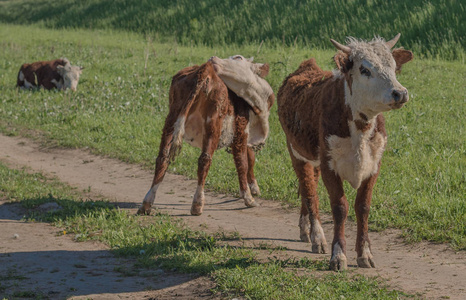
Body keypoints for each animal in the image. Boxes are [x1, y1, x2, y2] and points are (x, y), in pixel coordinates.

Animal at [137, 54, 274, 216]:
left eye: (237, 57)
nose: (212, 58)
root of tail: (205, 69)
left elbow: (250, 158)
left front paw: (254, 187)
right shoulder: (241, 131)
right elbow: (243, 163)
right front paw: (248, 197)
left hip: (171, 118)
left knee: (162, 158)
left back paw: (147, 203)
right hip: (213, 123)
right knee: (204, 160)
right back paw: (197, 204)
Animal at [276, 34, 412, 270]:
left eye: (394, 67)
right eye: (364, 69)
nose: (400, 93)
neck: (360, 129)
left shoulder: (374, 165)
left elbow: (363, 207)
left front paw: (365, 253)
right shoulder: (330, 165)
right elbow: (340, 208)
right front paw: (338, 255)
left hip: (314, 160)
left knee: (308, 188)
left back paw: (306, 230)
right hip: (297, 153)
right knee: (309, 192)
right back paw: (318, 237)